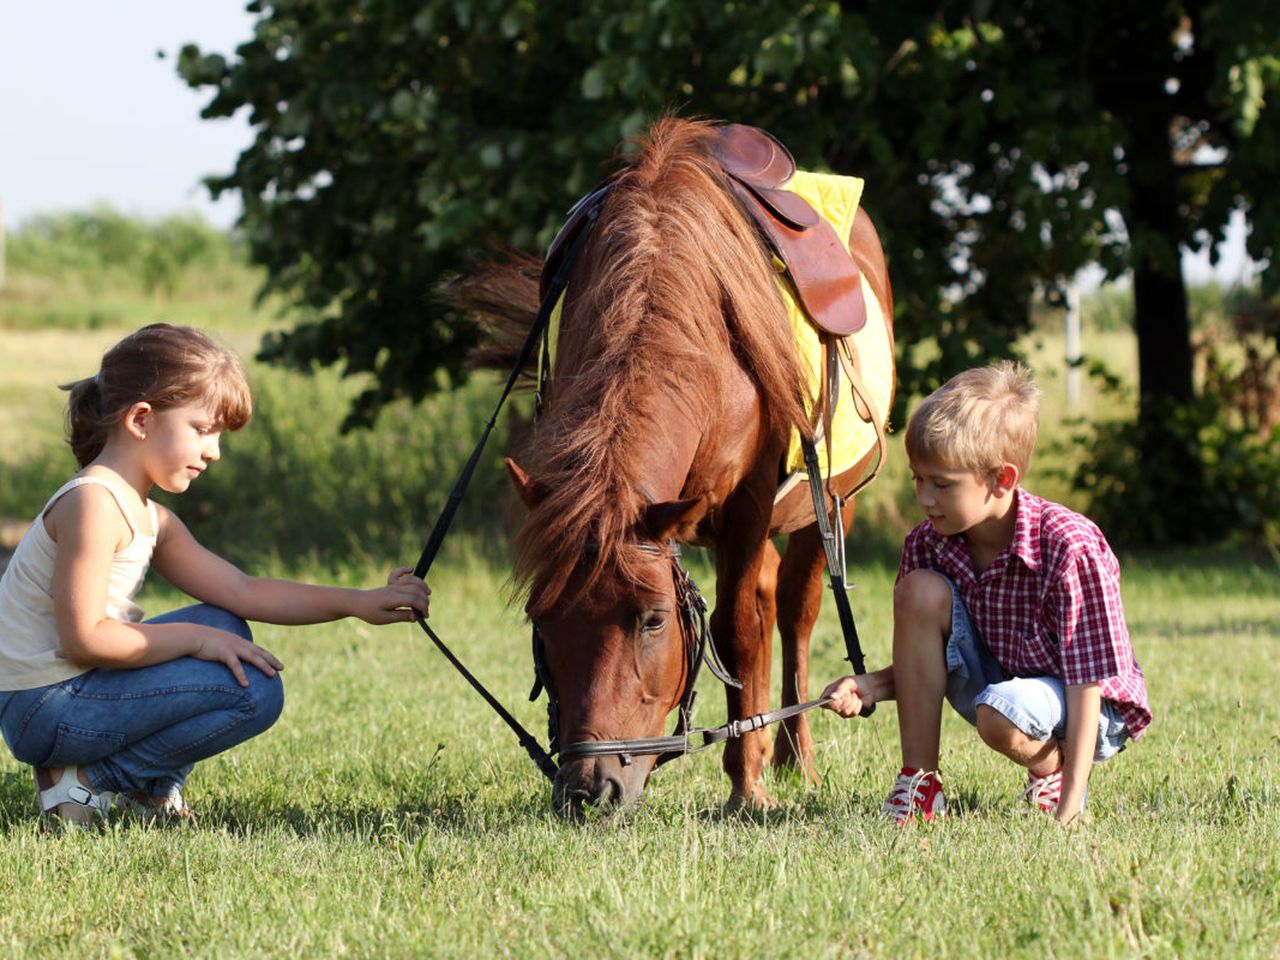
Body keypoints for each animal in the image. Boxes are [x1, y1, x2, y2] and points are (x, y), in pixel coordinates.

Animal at [458, 116, 890, 814]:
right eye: (541, 618)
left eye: (654, 620)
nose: (591, 789)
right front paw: (749, 766)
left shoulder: (749, 504)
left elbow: (737, 630)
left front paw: (747, 787)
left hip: (829, 503)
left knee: (793, 611)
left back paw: (794, 758)